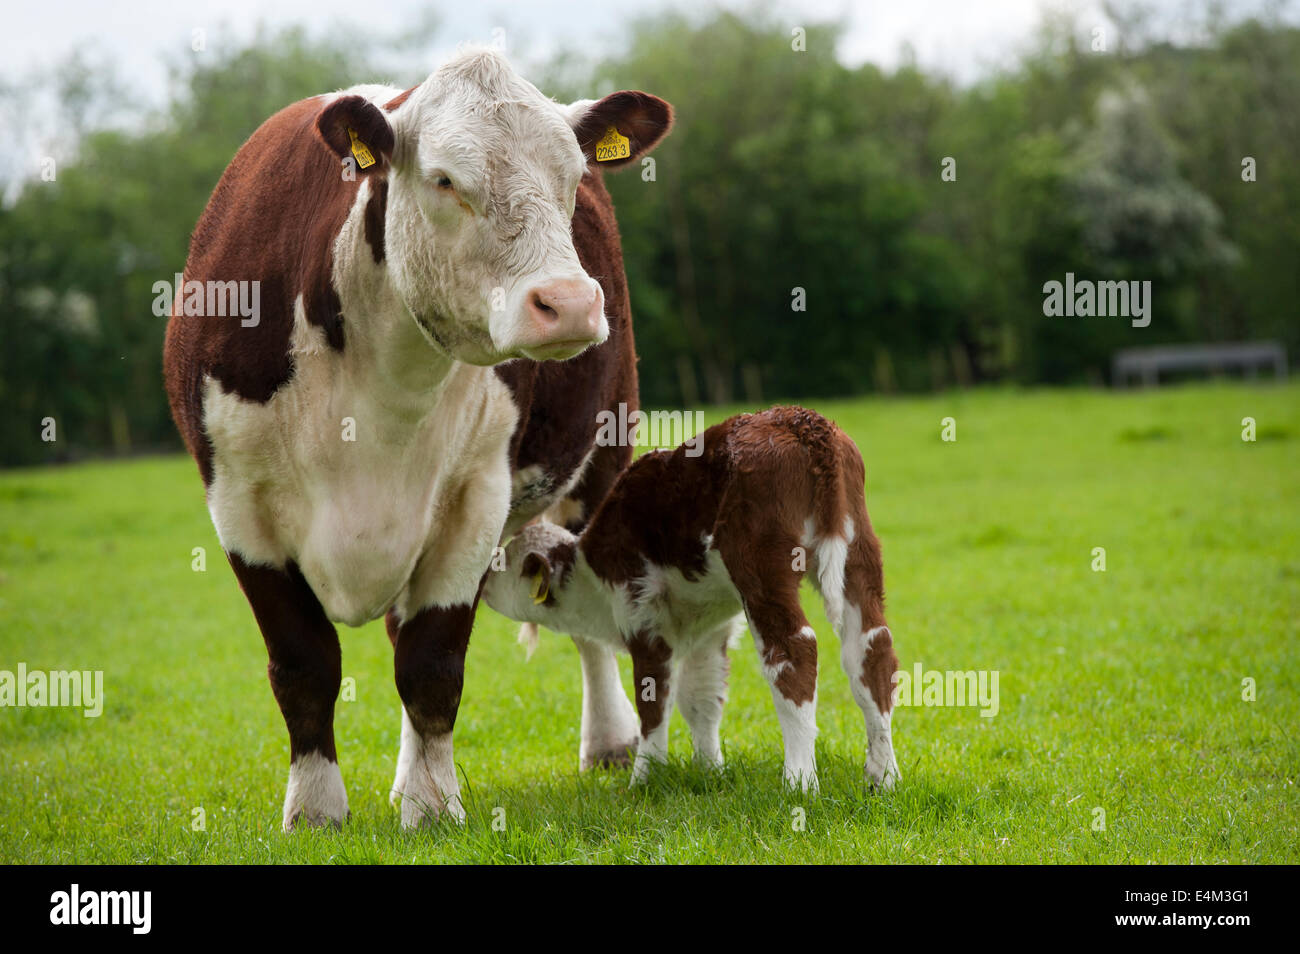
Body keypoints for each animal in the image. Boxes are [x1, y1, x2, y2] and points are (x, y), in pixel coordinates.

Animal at [163, 47, 672, 830]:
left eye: (572, 178)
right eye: (444, 180)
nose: (568, 303)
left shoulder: (477, 497)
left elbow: (432, 664)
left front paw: (433, 808)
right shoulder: (237, 501)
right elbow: (304, 662)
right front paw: (316, 811)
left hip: (600, 461)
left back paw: (609, 741)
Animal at [483, 407, 901, 793]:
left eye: (509, 563)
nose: (483, 583)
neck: (592, 578)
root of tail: (804, 423)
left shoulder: (640, 613)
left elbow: (653, 699)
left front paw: (644, 779)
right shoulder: (710, 627)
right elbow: (700, 696)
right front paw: (710, 770)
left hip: (762, 569)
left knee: (793, 651)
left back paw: (799, 781)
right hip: (860, 553)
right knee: (871, 647)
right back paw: (884, 777)